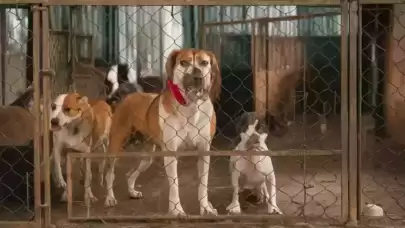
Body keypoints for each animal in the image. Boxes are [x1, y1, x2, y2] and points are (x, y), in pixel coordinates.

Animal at [102, 47, 219, 216]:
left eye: (204, 63)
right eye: (184, 63)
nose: (197, 77)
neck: (190, 107)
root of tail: (129, 96)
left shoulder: (204, 152)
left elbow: (203, 185)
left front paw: (206, 208)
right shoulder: (171, 154)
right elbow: (174, 185)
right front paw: (177, 211)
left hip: (147, 157)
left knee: (130, 174)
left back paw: (132, 192)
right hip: (116, 146)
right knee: (109, 173)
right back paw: (110, 198)